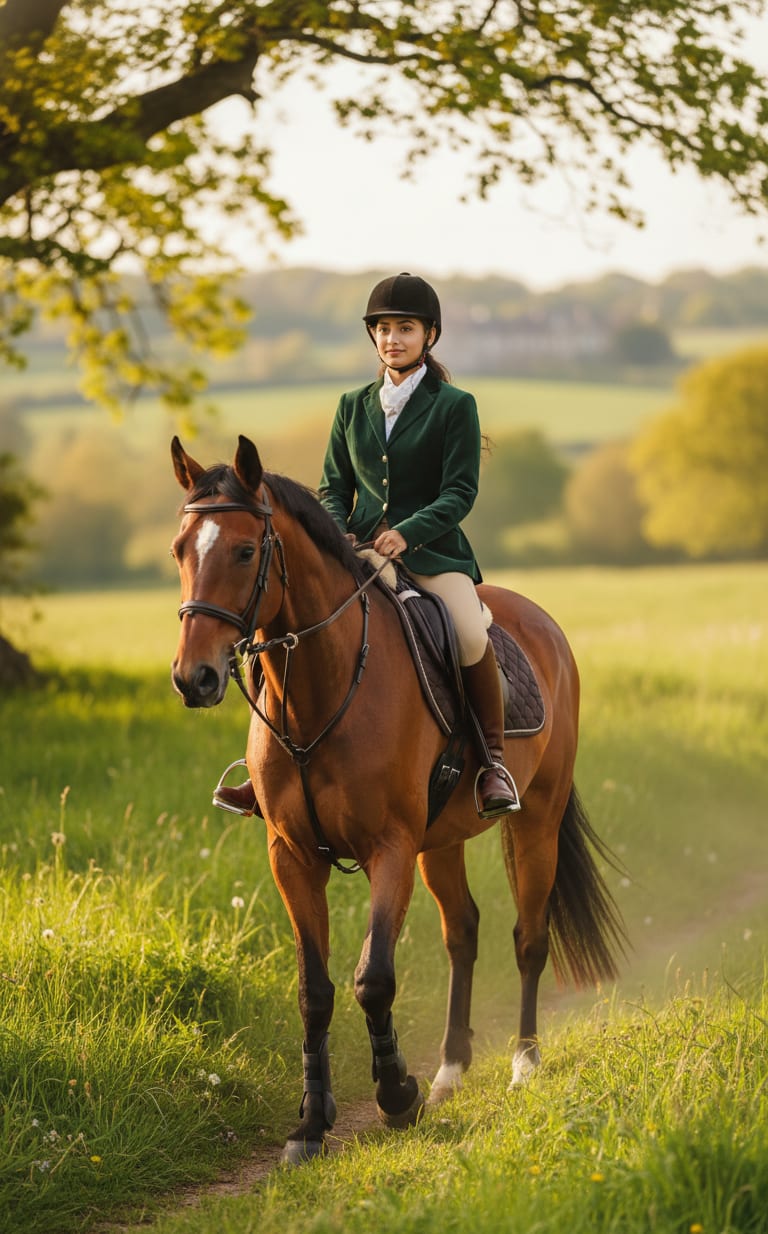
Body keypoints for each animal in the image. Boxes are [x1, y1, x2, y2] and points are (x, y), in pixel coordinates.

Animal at [170, 434, 627, 1164]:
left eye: (243, 551)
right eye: (180, 550)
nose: (195, 678)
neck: (321, 689)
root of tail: (541, 622)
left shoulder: (389, 847)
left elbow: (373, 977)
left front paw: (395, 1095)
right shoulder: (291, 855)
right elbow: (315, 990)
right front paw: (311, 1122)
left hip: (537, 822)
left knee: (529, 937)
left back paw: (524, 1064)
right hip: (439, 842)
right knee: (462, 933)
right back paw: (450, 1072)